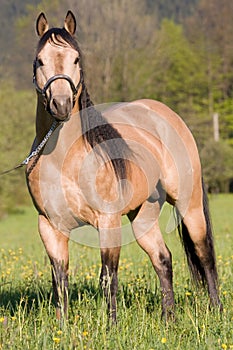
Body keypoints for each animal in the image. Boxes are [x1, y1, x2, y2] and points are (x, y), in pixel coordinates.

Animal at [26, 10, 222, 322]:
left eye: (76, 59)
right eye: (40, 60)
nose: (61, 104)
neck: (64, 161)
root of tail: (165, 112)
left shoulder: (108, 221)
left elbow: (108, 277)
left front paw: (111, 325)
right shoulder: (50, 226)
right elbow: (60, 280)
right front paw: (62, 326)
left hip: (188, 205)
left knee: (204, 255)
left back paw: (216, 310)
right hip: (143, 214)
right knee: (162, 258)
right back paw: (168, 318)